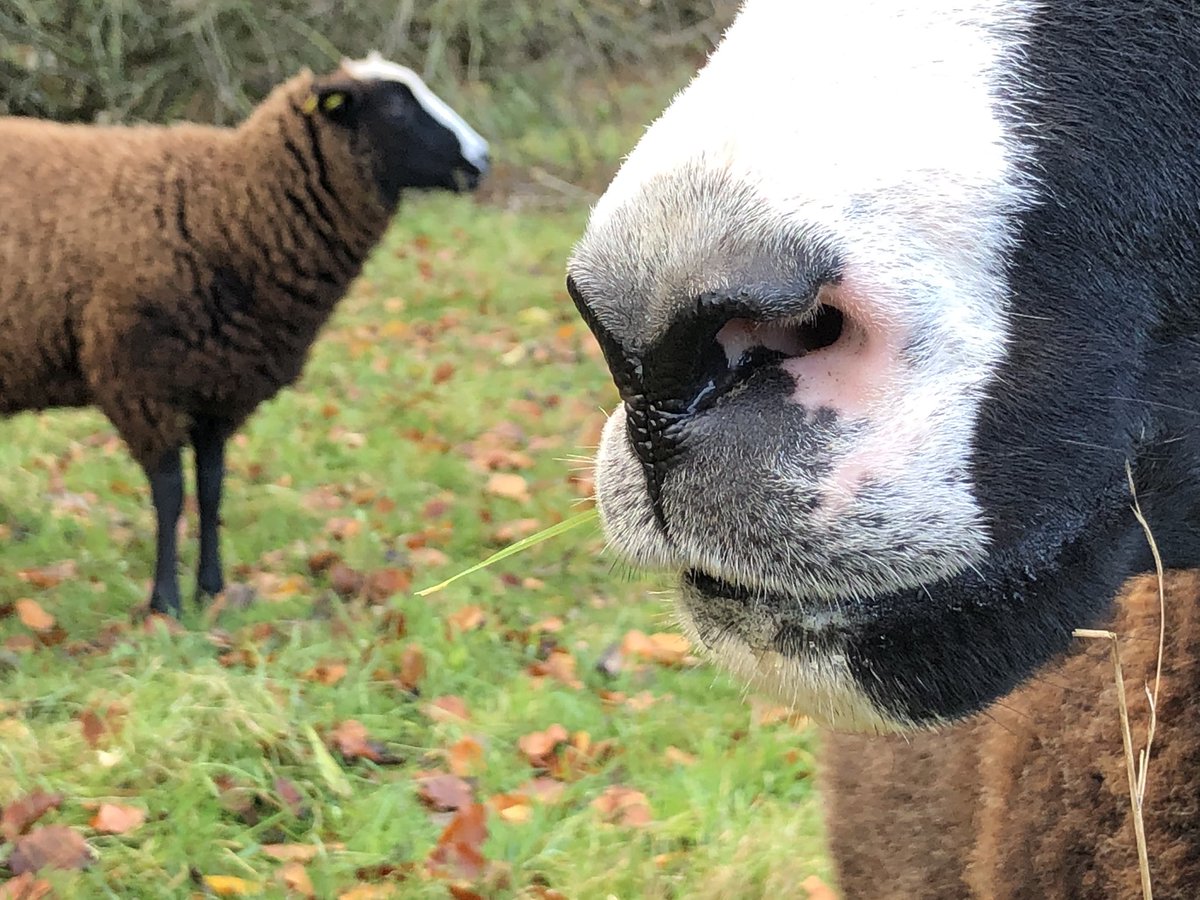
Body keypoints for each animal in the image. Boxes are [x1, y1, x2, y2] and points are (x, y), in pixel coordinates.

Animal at [1, 52, 487, 619]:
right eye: (397, 107)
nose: (482, 161)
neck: (227, 207)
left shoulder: (220, 383)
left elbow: (212, 487)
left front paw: (212, 588)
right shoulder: (141, 381)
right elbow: (170, 494)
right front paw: (166, 603)